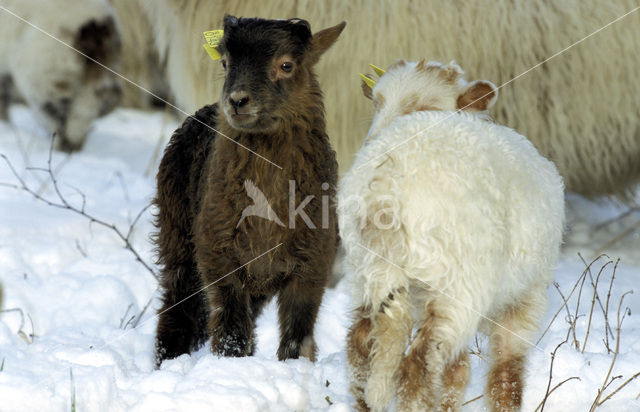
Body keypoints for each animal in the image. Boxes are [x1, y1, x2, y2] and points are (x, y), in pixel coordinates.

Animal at [338, 59, 564, 410]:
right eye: (376, 102)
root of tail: (388, 176)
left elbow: (455, 374)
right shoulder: (526, 296)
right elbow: (505, 376)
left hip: (368, 268)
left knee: (360, 348)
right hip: (457, 282)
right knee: (416, 366)